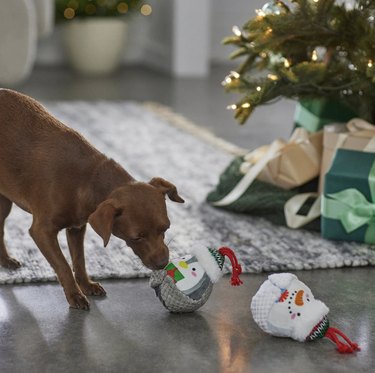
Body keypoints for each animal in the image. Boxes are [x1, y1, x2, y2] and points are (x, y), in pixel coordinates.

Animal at [0, 89, 185, 308]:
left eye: (166, 228)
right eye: (136, 237)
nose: (163, 264)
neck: (87, 179)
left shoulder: (77, 228)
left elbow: (79, 260)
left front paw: (86, 285)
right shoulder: (42, 232)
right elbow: (63, 265)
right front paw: (75, 295)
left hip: (4, 202)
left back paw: (5, 260)